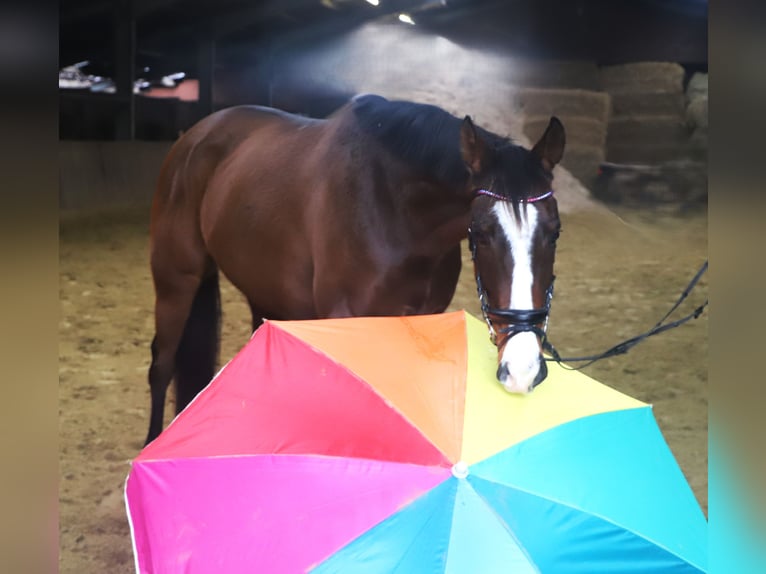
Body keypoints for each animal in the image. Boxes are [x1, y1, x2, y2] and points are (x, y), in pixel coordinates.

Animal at [145, 94, 565, 444]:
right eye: (481, 233)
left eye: (555, 231)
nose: (523, 367)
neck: (397, 211)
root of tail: (194, 135)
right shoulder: (347, 321)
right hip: (175, 281)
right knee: (161, 364)